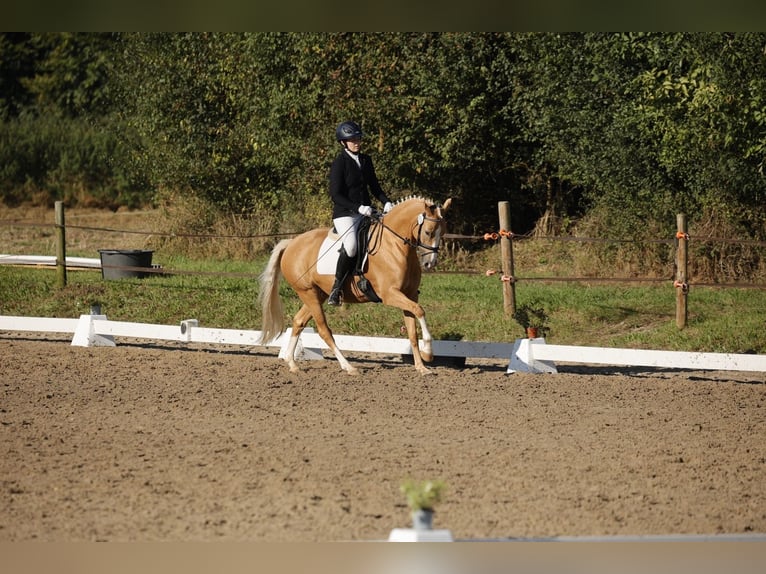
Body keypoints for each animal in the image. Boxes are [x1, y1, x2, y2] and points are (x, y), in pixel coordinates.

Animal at [260, 197, 450, 378]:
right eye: (428, 232)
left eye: (443, 232)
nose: (429, 263)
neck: (394, 246)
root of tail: (291, 243)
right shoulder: (390, 294)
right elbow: (419, 310)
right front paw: (428, 353)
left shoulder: (409, 295)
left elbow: (412, 332)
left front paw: (422, 367)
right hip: (308, 293)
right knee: (324, 330)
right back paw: (348, 367)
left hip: (317, 294)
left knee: (299, 321)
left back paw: (292, 363)